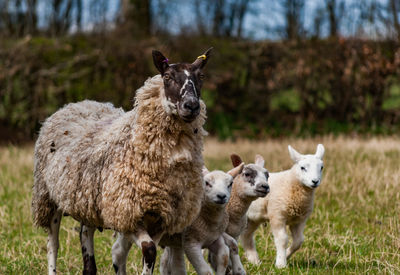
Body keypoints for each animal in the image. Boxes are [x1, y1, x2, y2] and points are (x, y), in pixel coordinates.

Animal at [32, 48, 212, 274]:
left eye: (201, 77)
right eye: (167, 77)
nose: (192, 106)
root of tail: (78, 103)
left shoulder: (161, 219)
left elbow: (147, 254)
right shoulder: (128, 213)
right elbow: (149, 250)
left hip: (90, 200)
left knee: (85, 234)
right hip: (47, 198)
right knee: (53, 244)